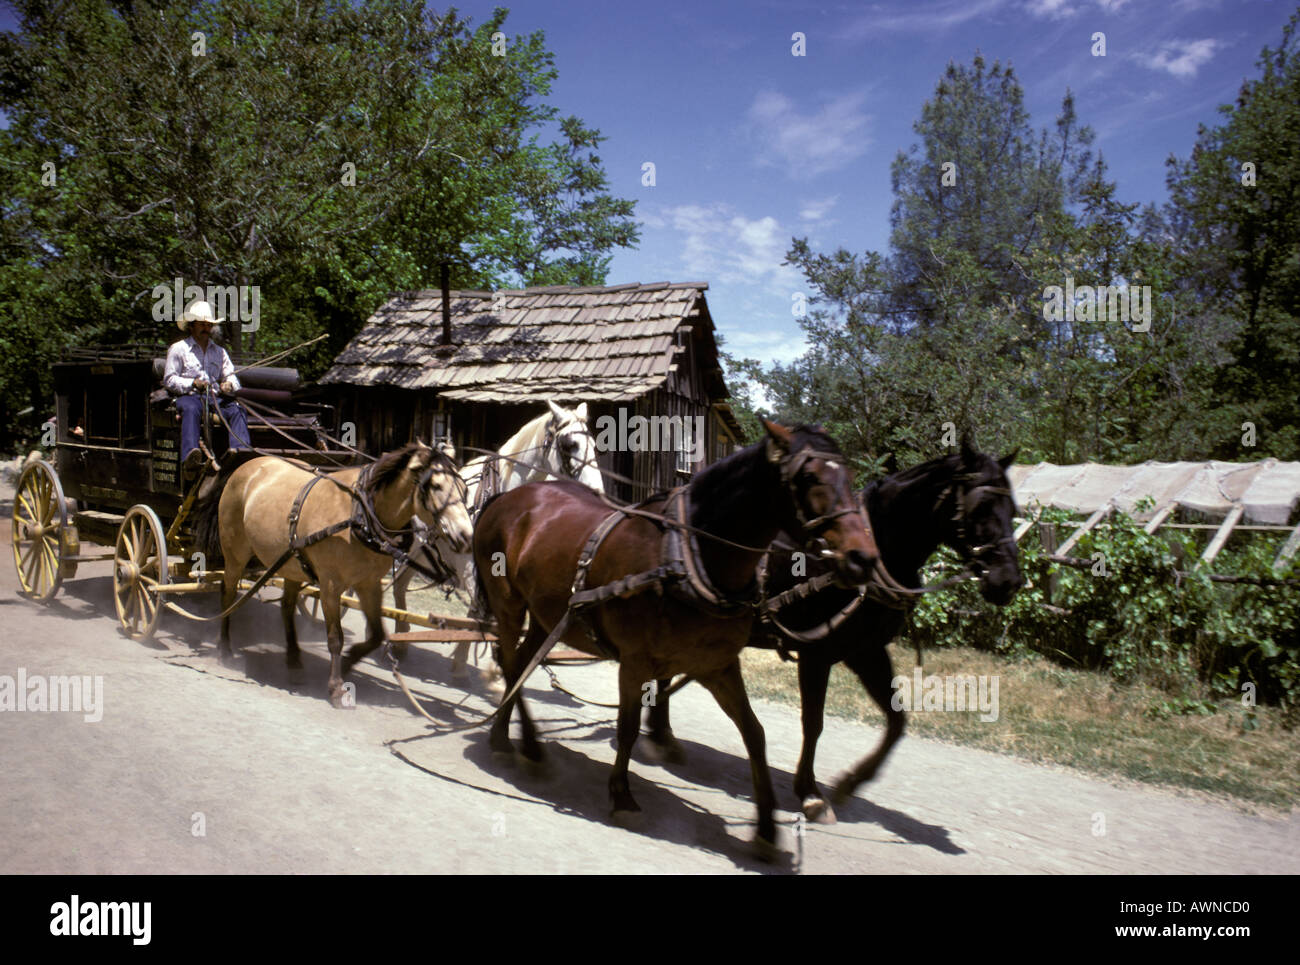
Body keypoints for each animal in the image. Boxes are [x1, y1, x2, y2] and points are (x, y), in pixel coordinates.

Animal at [197, 442, 473, 707]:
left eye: (464, 488)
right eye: (436, 486)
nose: (465, 537)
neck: (359, 515)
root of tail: (247, 466)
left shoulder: (369, 584)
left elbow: (377, 635)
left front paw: (349, 661)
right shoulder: (330, 585)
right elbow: (335, 638)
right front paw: (337, 688)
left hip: (290, 563)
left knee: (286, 607)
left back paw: (294, 660)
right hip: (235, 554)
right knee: (228, 594)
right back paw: (224, 648)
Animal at [387, 403, 605, 676]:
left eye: (593, 443)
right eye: (569, 444)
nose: (598, 491)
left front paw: (465, 664)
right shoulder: (473, 571)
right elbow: (485, 616)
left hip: (422, 552)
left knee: (399, 583)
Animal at [473, 423, 878, 853]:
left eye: (851, 476)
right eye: (809, 477)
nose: (863, 559)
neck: (689, 556)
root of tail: (509, 497)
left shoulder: (718, 666)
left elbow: (755, 734)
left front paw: (767, 824)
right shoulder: (634, 661)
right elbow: (627, 727)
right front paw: (622, 795)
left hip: (546, 615)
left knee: (523, 662)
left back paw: (524, 742)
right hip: (509, 604)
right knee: (511, 662)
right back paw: (508, 740)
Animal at [644, 439, 1019, 821]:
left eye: (1014, 510)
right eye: (982, 506)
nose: (1010, 581)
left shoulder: (866, 651)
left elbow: (896, 722)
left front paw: (851, 782)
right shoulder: (817, 654)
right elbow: (813, 722)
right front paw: (810, 792)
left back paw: (662, 734)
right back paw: (660, 735)